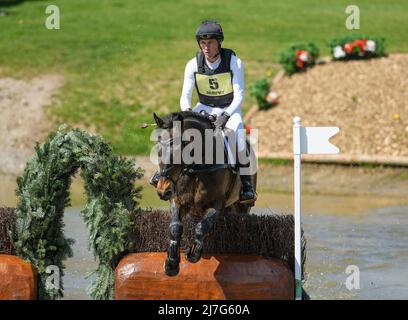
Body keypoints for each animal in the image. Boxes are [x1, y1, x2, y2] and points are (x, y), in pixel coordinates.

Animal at [151, 110, 256, 276]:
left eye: (178, 150)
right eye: (158, 150)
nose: (163, 190)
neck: (197, 166)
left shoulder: (216, 204)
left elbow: (201, 228)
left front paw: (193, 254)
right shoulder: (177, 199)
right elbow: (175, 227)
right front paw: (172, 264)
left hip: (243, 207)